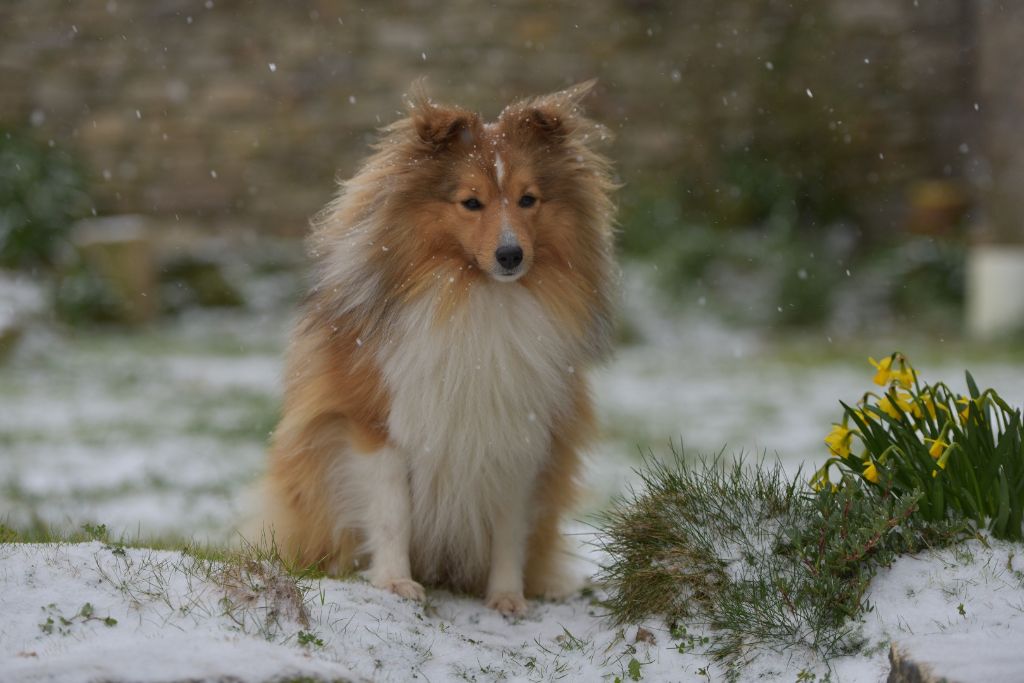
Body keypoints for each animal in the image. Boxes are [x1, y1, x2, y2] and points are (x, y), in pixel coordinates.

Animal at [260, 82, 618, 618]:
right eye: (471, 202)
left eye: (528, 199)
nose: (511, 256)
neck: (474, 296)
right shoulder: (375, 422)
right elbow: (392, 512)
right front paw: (394, 582)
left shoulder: (519, 432)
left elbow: (510, 528)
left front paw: (508, 597)